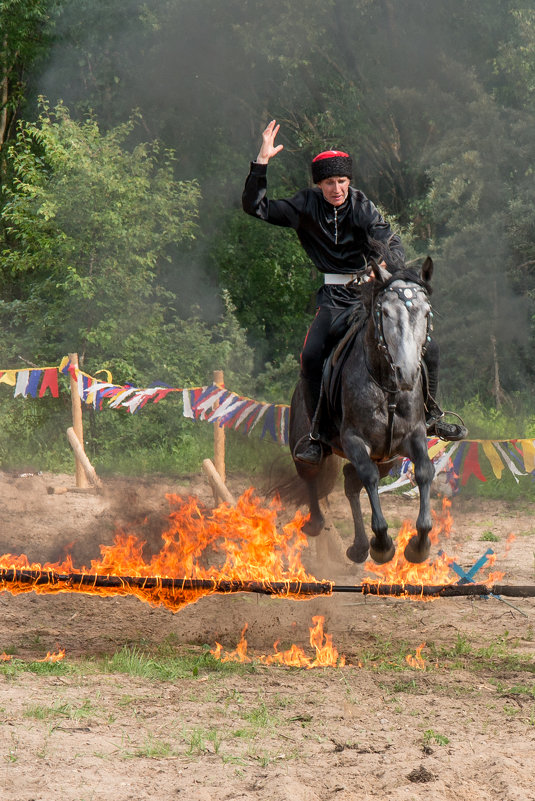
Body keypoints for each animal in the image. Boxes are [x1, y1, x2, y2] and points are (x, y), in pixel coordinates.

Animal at [292, 256, 438, 564]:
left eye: (426, 312)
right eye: (385, 312)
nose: (407, 373)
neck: (386, 386)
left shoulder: (414, 436)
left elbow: (423, 471)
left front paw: (419, 544)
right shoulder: (354, 440)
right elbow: (368, 476)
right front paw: (382, 544)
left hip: (387, 460)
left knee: (351, 481)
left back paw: (358, 546)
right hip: (305, 445)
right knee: (312, 476)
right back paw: (316, 523)